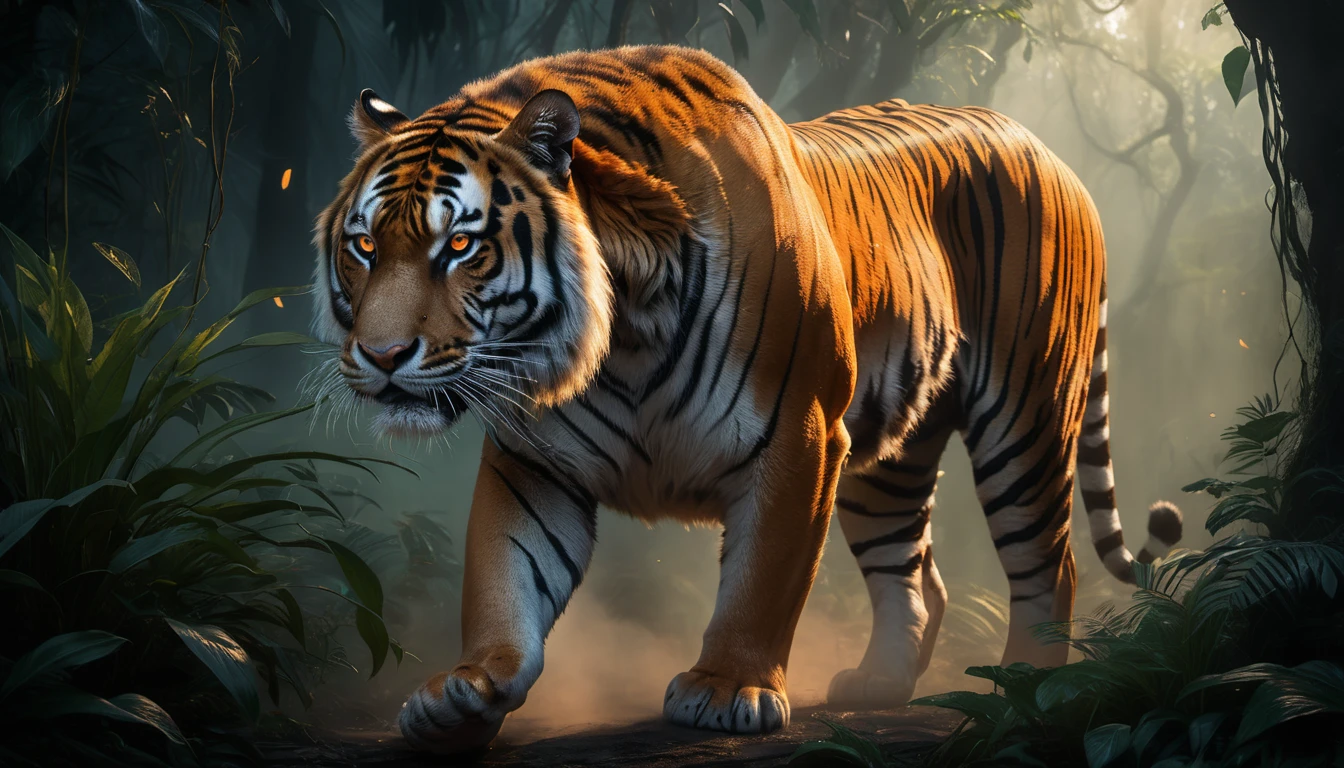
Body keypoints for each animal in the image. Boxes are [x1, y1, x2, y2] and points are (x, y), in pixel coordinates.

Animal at [311, 45, 1183, 753]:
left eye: (460, 245)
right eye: (365, 245)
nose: (381, 357)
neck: (619, 337)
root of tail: (1042, 145)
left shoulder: (800, 435)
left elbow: (762, 580)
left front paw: (727, 689)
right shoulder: (533, 462)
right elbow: (504, 577)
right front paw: (462, 694)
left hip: (1025, 418)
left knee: (1049, 563)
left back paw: (1031, 686)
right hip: (887, 462)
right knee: (915, 575)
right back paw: (879, 684)